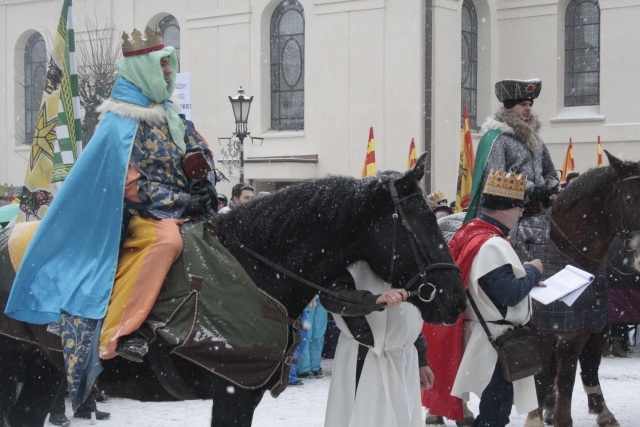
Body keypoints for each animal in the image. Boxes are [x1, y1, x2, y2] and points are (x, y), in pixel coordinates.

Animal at [0, 154, 462, 427]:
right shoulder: (232, 393)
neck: (256, 269)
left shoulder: (246, 397)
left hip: (45, 372)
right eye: (422, 221)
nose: (455, 298)